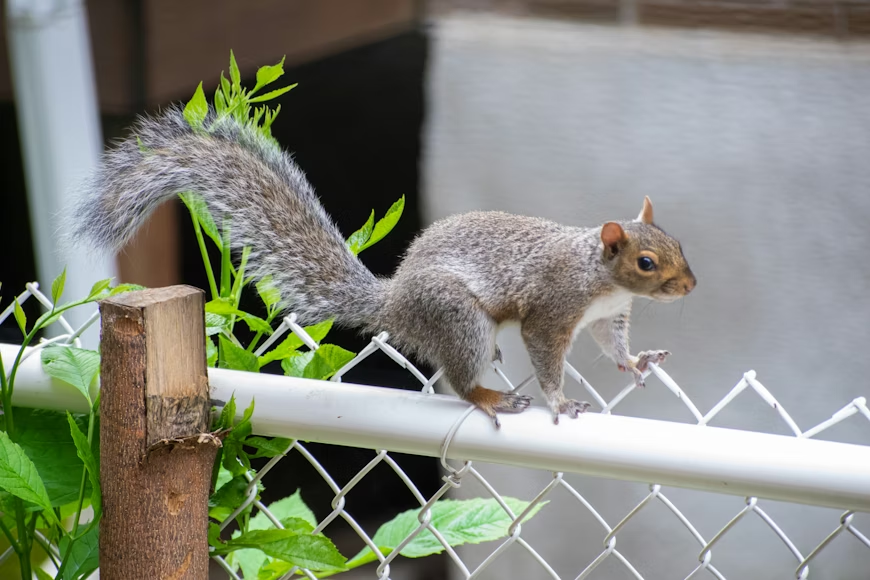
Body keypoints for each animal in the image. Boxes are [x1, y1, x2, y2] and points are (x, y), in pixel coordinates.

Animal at [71, 106, 697, 427]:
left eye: (678, 243)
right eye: (646, 261)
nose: (691, 285)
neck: (601, 278)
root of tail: (394, 301)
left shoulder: (607, 316)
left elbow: (614, 346)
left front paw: (636, 362)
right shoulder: (554, 307)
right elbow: (546, 355)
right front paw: (560, 401)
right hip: (457, 315)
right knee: (459, 380)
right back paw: (488, 397)